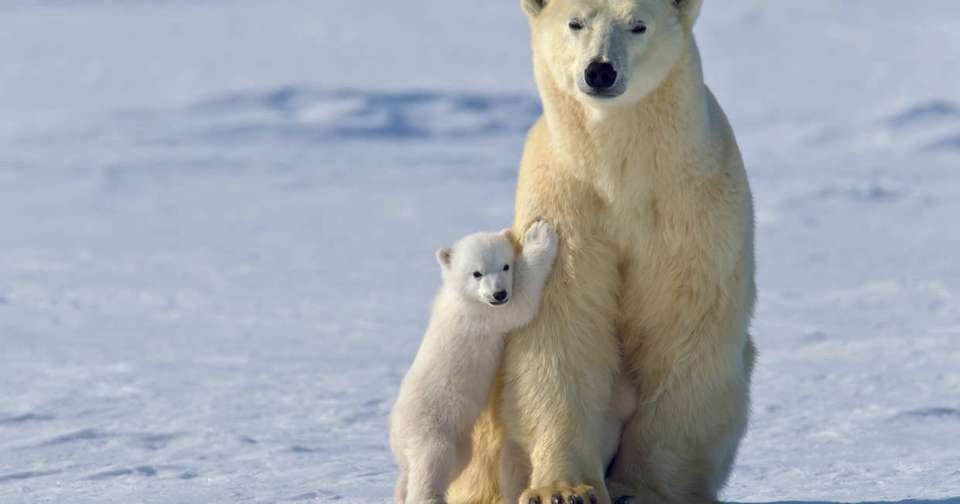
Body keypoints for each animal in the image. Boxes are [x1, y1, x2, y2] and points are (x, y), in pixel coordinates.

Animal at [390, 221, 560, 504]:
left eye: (505, 265)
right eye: (477, 273)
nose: (499, 293)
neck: (461, 297)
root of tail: (396, 433)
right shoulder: (482, 314)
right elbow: (520, 304)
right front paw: (539, 235)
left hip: (457, 439)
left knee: (442, 465)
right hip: (431, 424)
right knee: (431, 462)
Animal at [446, 1, 757, 504]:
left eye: (638, 25)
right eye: (576, 22)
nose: (600, 70)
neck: (622, 171)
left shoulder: (691, 208)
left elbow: (683, 328)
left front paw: (641, 489)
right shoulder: (567, 206)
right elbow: (563, 330)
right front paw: (564, 489)